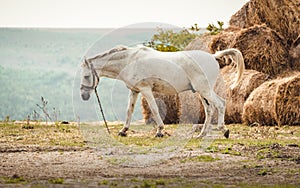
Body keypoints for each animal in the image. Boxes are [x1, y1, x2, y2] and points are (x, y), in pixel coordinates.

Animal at [80, 44, 244, 137]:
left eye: (86, 76)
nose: (84, 95)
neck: (130, 60)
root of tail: (213, 56)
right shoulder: (135, 91)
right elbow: (129, 111)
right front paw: (123, 131)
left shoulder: (145, 90)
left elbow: (154, 109)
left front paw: (160, 131)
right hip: (202, 92)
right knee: (209, 110)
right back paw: (202, 135)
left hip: (204, 90)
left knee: (220, 104)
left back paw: (224, 130)